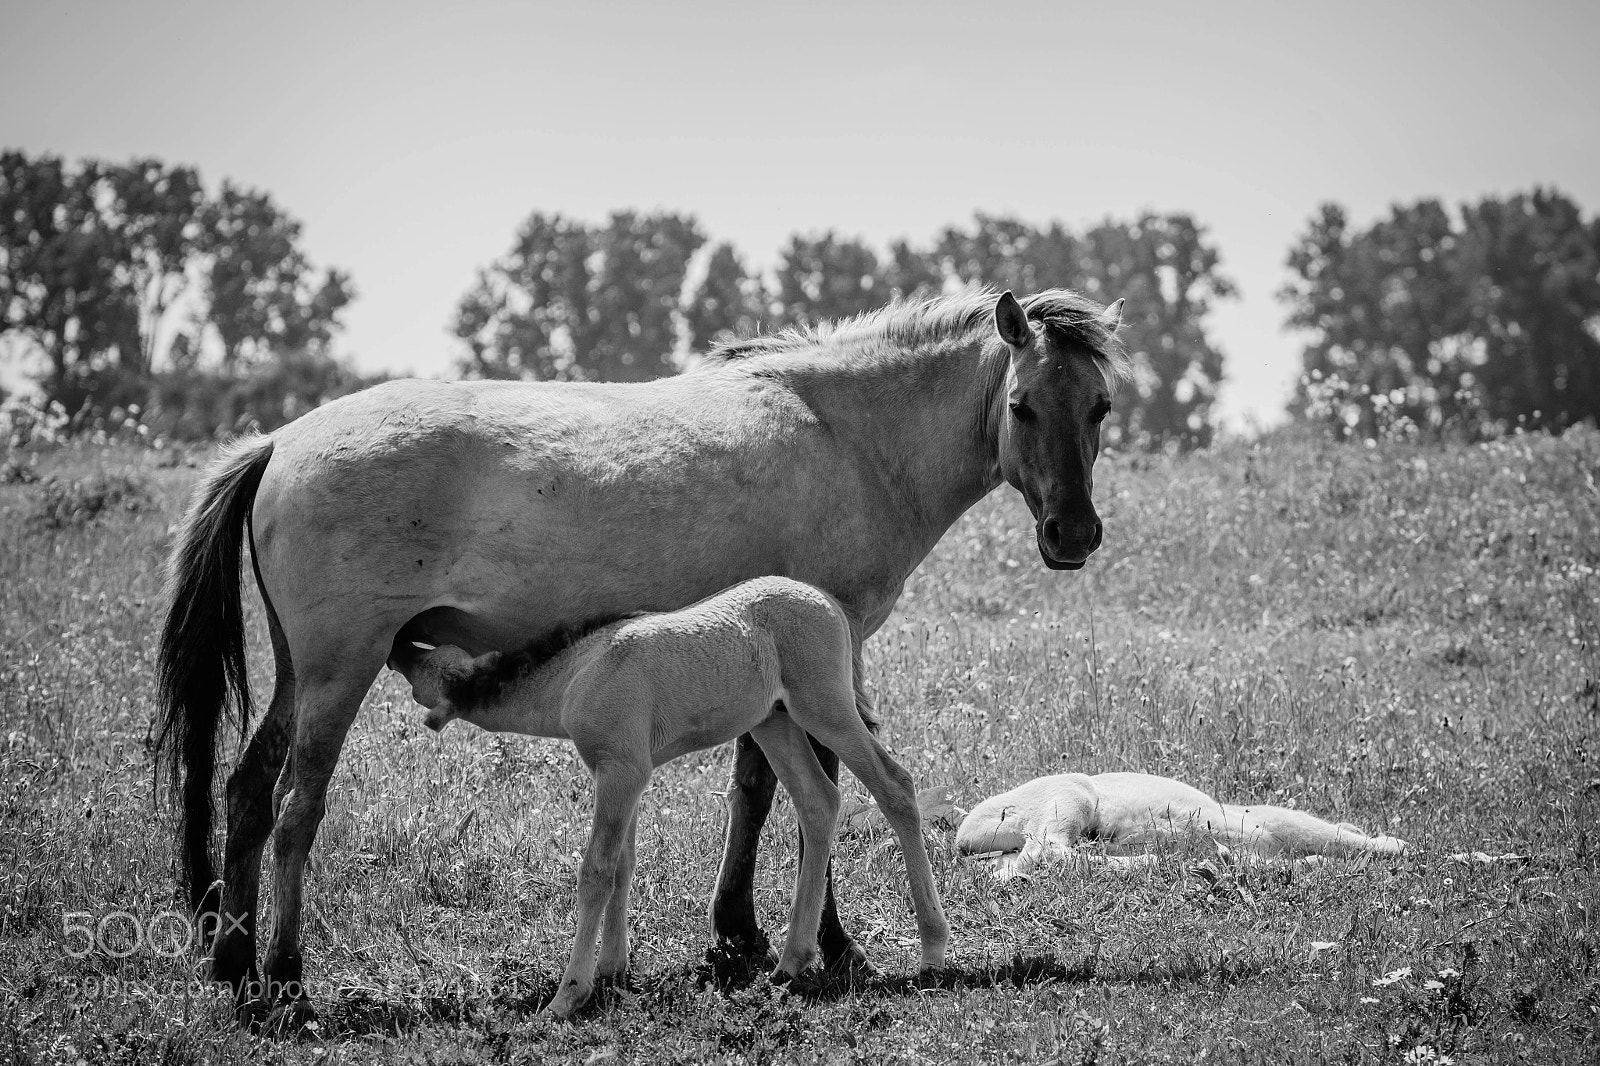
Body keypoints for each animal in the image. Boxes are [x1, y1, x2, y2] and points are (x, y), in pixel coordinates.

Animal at [390, 576, 949, 1018]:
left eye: (424, 666)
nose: (396, 645)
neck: (577, 673)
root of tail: (828, 602)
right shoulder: (625, 775)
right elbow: (623, 864)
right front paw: (613, 970)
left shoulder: (621, 771)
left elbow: (596, 871)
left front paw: (569, 996)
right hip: (776, 722)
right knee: (820, 803)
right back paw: (791, 964)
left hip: (823, 707)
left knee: (895, 787)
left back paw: (931, 952)